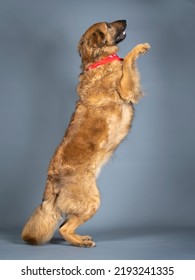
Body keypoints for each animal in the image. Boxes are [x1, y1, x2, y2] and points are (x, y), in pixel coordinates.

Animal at [21, 20, 151, 247]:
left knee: (64, 225)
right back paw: (82, 243)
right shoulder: (126, 89)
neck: (98, 62)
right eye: (108, 25)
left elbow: (126, 61)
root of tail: (51, 177)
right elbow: (128, 60)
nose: (125, 20)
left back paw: (80, 238)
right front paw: (139, 48)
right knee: (64, 228)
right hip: (92, 200)